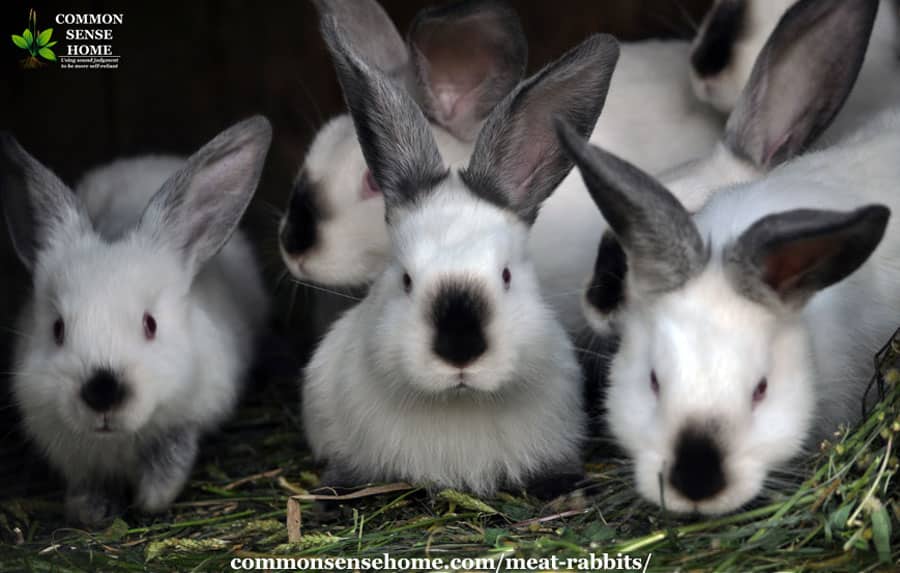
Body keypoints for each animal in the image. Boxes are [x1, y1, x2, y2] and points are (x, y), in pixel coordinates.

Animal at [0, 117, 274, 528]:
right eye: (57, 329)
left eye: (151, 324)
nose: (102, 392)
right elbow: (86, 482)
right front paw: (90, 511)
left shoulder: (188, 418)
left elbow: (171, 460)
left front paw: (150, 500)